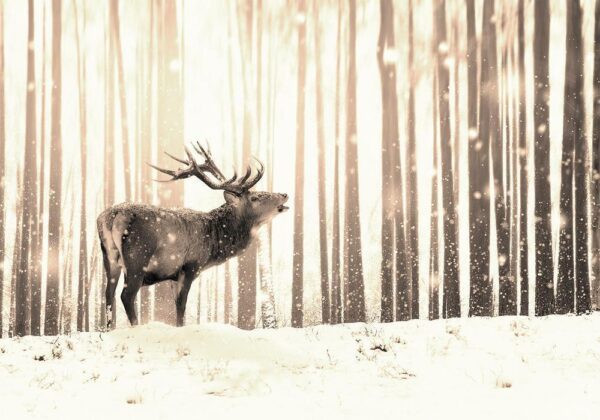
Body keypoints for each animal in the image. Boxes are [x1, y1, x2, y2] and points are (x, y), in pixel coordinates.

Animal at [96, 143, 288, 330]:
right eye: (255, 197)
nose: (284, 194)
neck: (213, 242)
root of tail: (113, 215)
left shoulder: (172, 274)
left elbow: (176, 304)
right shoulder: (190, 265)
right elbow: (182, 305)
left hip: (109, 257)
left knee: (108, 294)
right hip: (138, 256)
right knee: (126, 295)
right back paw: (136, 327)